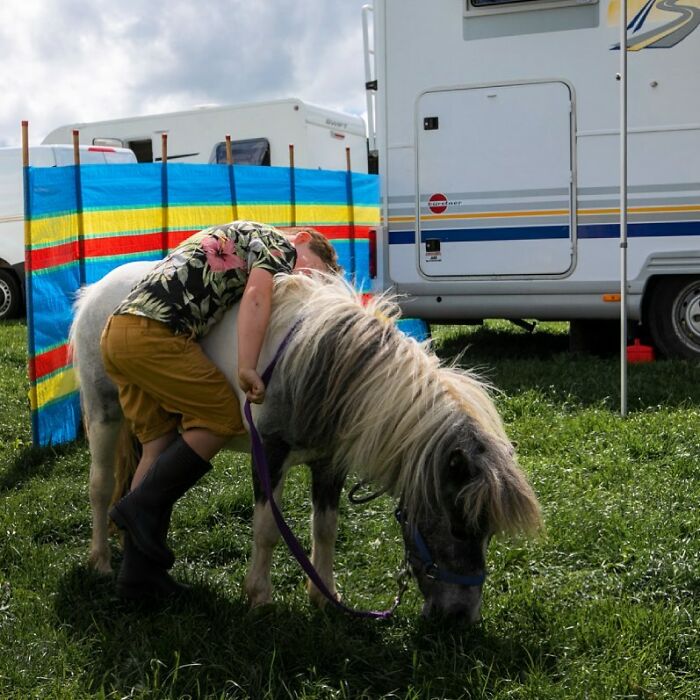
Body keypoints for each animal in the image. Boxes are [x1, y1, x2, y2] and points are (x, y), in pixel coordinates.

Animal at [70, 261, 542, 622]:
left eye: (488, 531)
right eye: (460, 526)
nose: (461, 618)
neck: (321, 366)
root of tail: (96, 291)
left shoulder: (330, 464)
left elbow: (326, 528)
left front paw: (324, 594)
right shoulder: (269, 454)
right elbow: (266, 529)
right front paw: (259, 597)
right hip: (105, 414)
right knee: (100, 488)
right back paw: (101, 561)